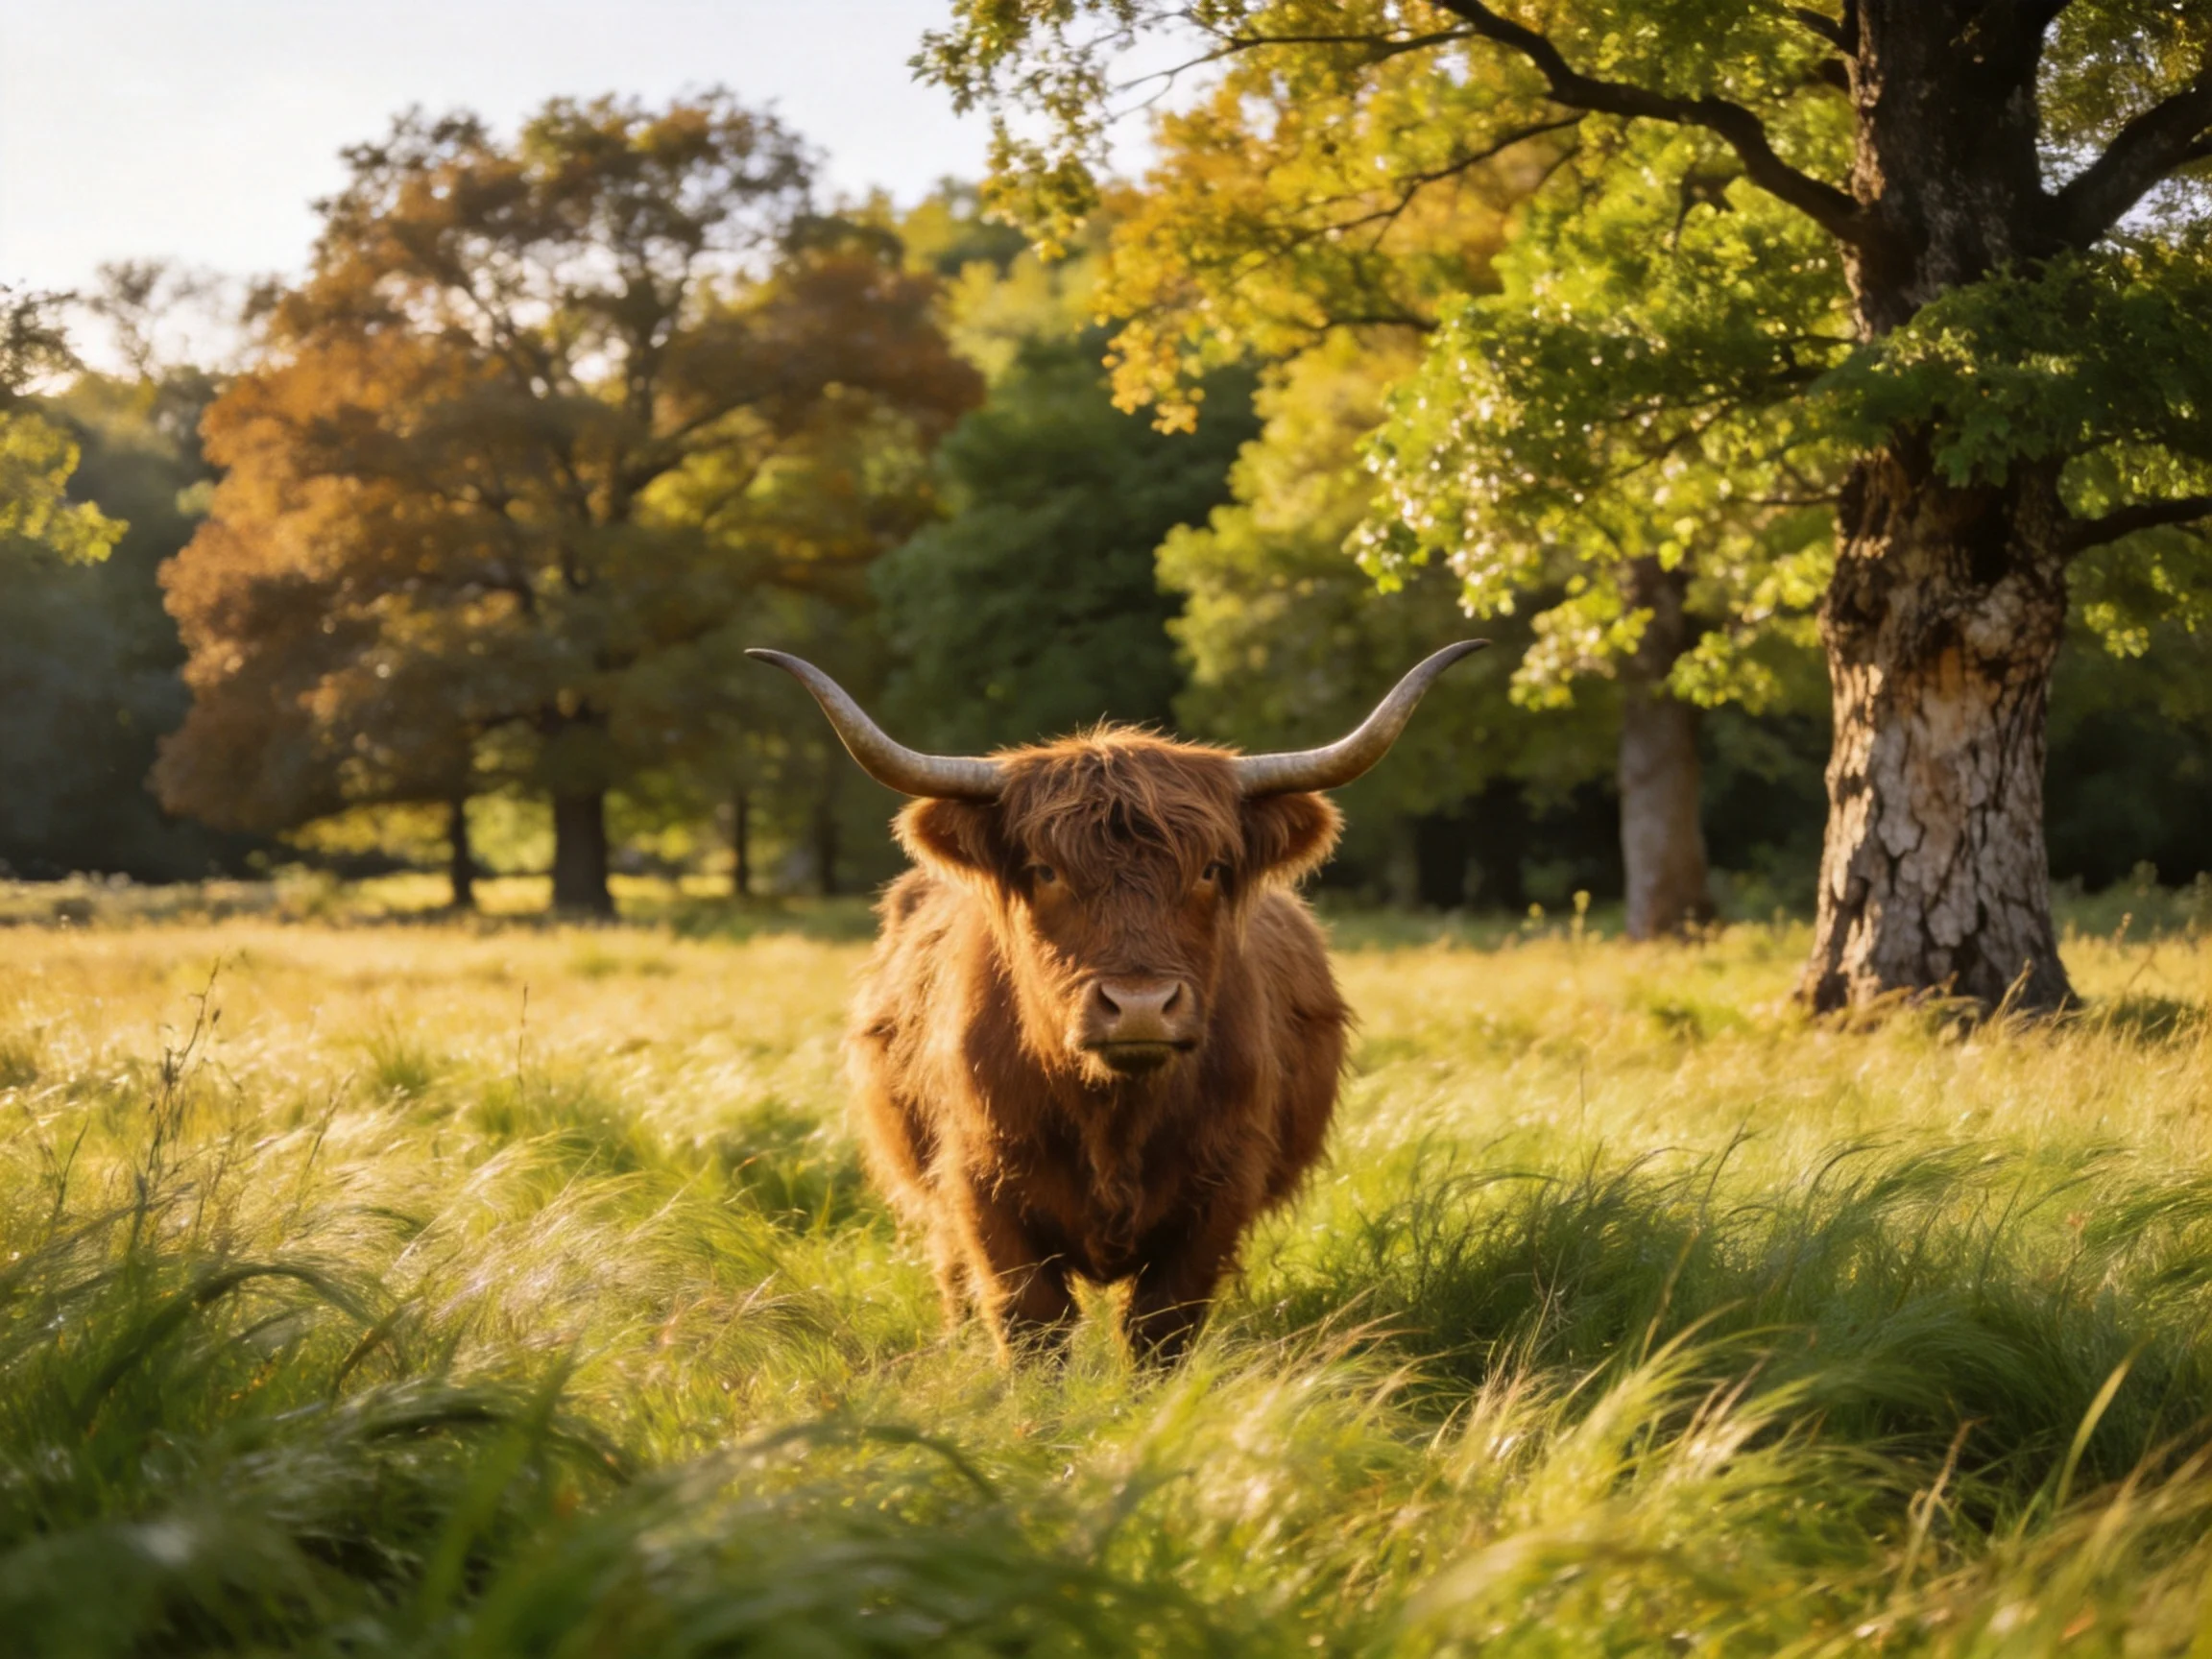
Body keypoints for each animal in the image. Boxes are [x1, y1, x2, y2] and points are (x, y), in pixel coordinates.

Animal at [750, 643, 1486, 1364]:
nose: (1138, 1005)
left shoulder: (1220, 1192)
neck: (1112, 1116)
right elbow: (1030, 1324)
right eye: (1046, 871)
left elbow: (1162, 1328)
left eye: (1211, 869)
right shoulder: (981, 1185)